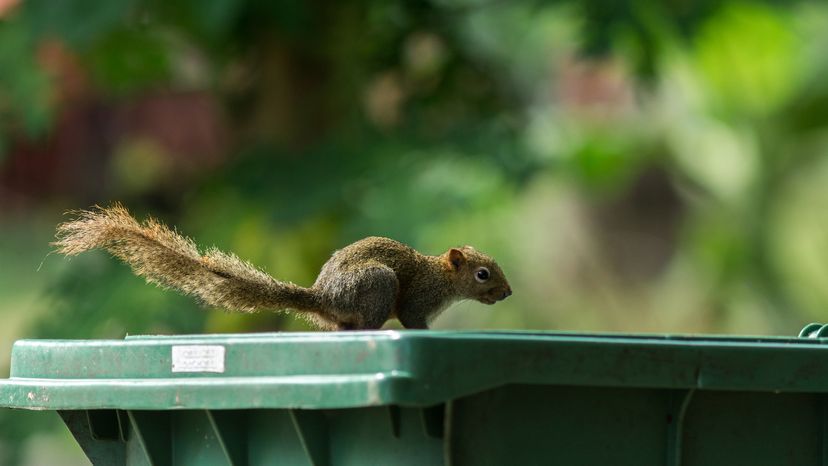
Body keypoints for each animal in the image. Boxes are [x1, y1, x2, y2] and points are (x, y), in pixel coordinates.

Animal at [53, 205, 512, 332]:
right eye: (483, 274)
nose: (508, 294)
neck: (445, 279)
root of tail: (324, 296)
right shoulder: (418, 301)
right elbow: (416, 321)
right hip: (379, 284)